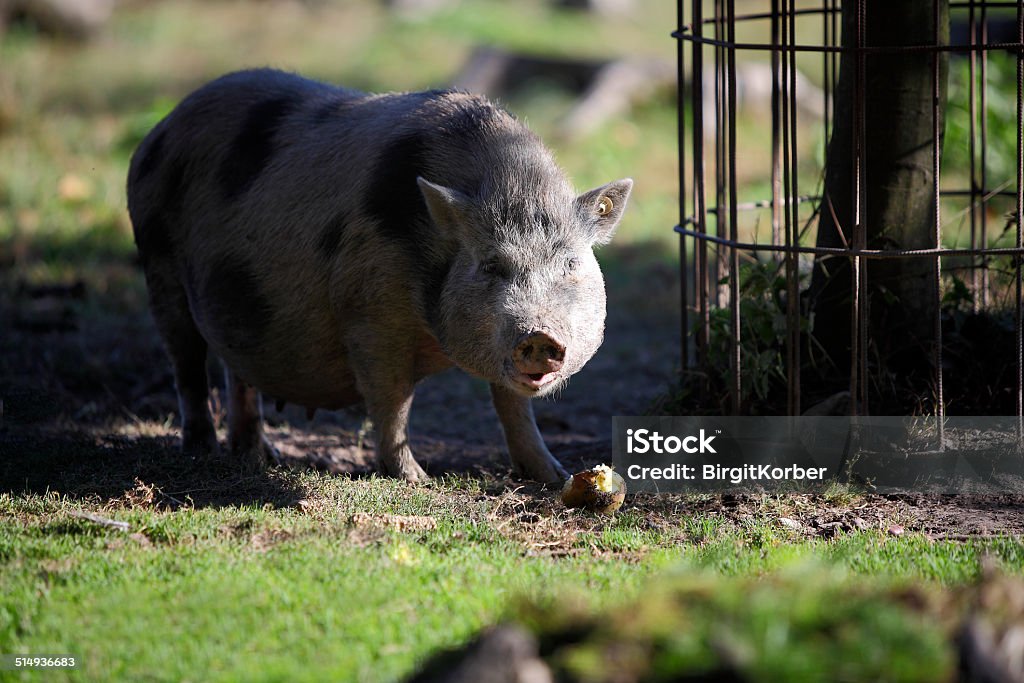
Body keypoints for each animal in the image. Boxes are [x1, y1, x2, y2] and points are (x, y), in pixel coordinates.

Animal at [128, 68, 630, 485]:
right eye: (491, 265)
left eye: (570, 265)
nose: (539, 335)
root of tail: (161, 128)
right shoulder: (368, 314)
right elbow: (392, 401)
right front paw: (418, 481)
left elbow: (513, 405)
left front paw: (555, 477)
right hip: (157, 261)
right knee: (187, 364)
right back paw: (202, 452)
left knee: (237, 370)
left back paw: (259, 456)